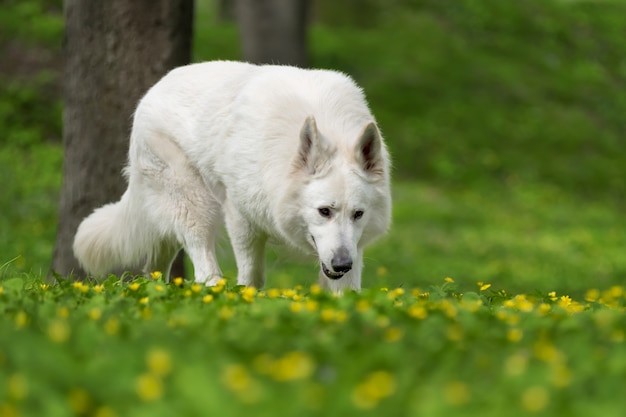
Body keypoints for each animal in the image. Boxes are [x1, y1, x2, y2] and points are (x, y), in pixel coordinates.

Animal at [73, 60, 390, 290]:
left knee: (154, 265)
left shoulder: (353, 247)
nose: (342, 264)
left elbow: (345, 292)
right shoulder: (242, 221)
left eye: (358, 214)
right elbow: (251, 278)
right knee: (204, 271)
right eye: (324, 211)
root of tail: (154, 88)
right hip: (197, 208)